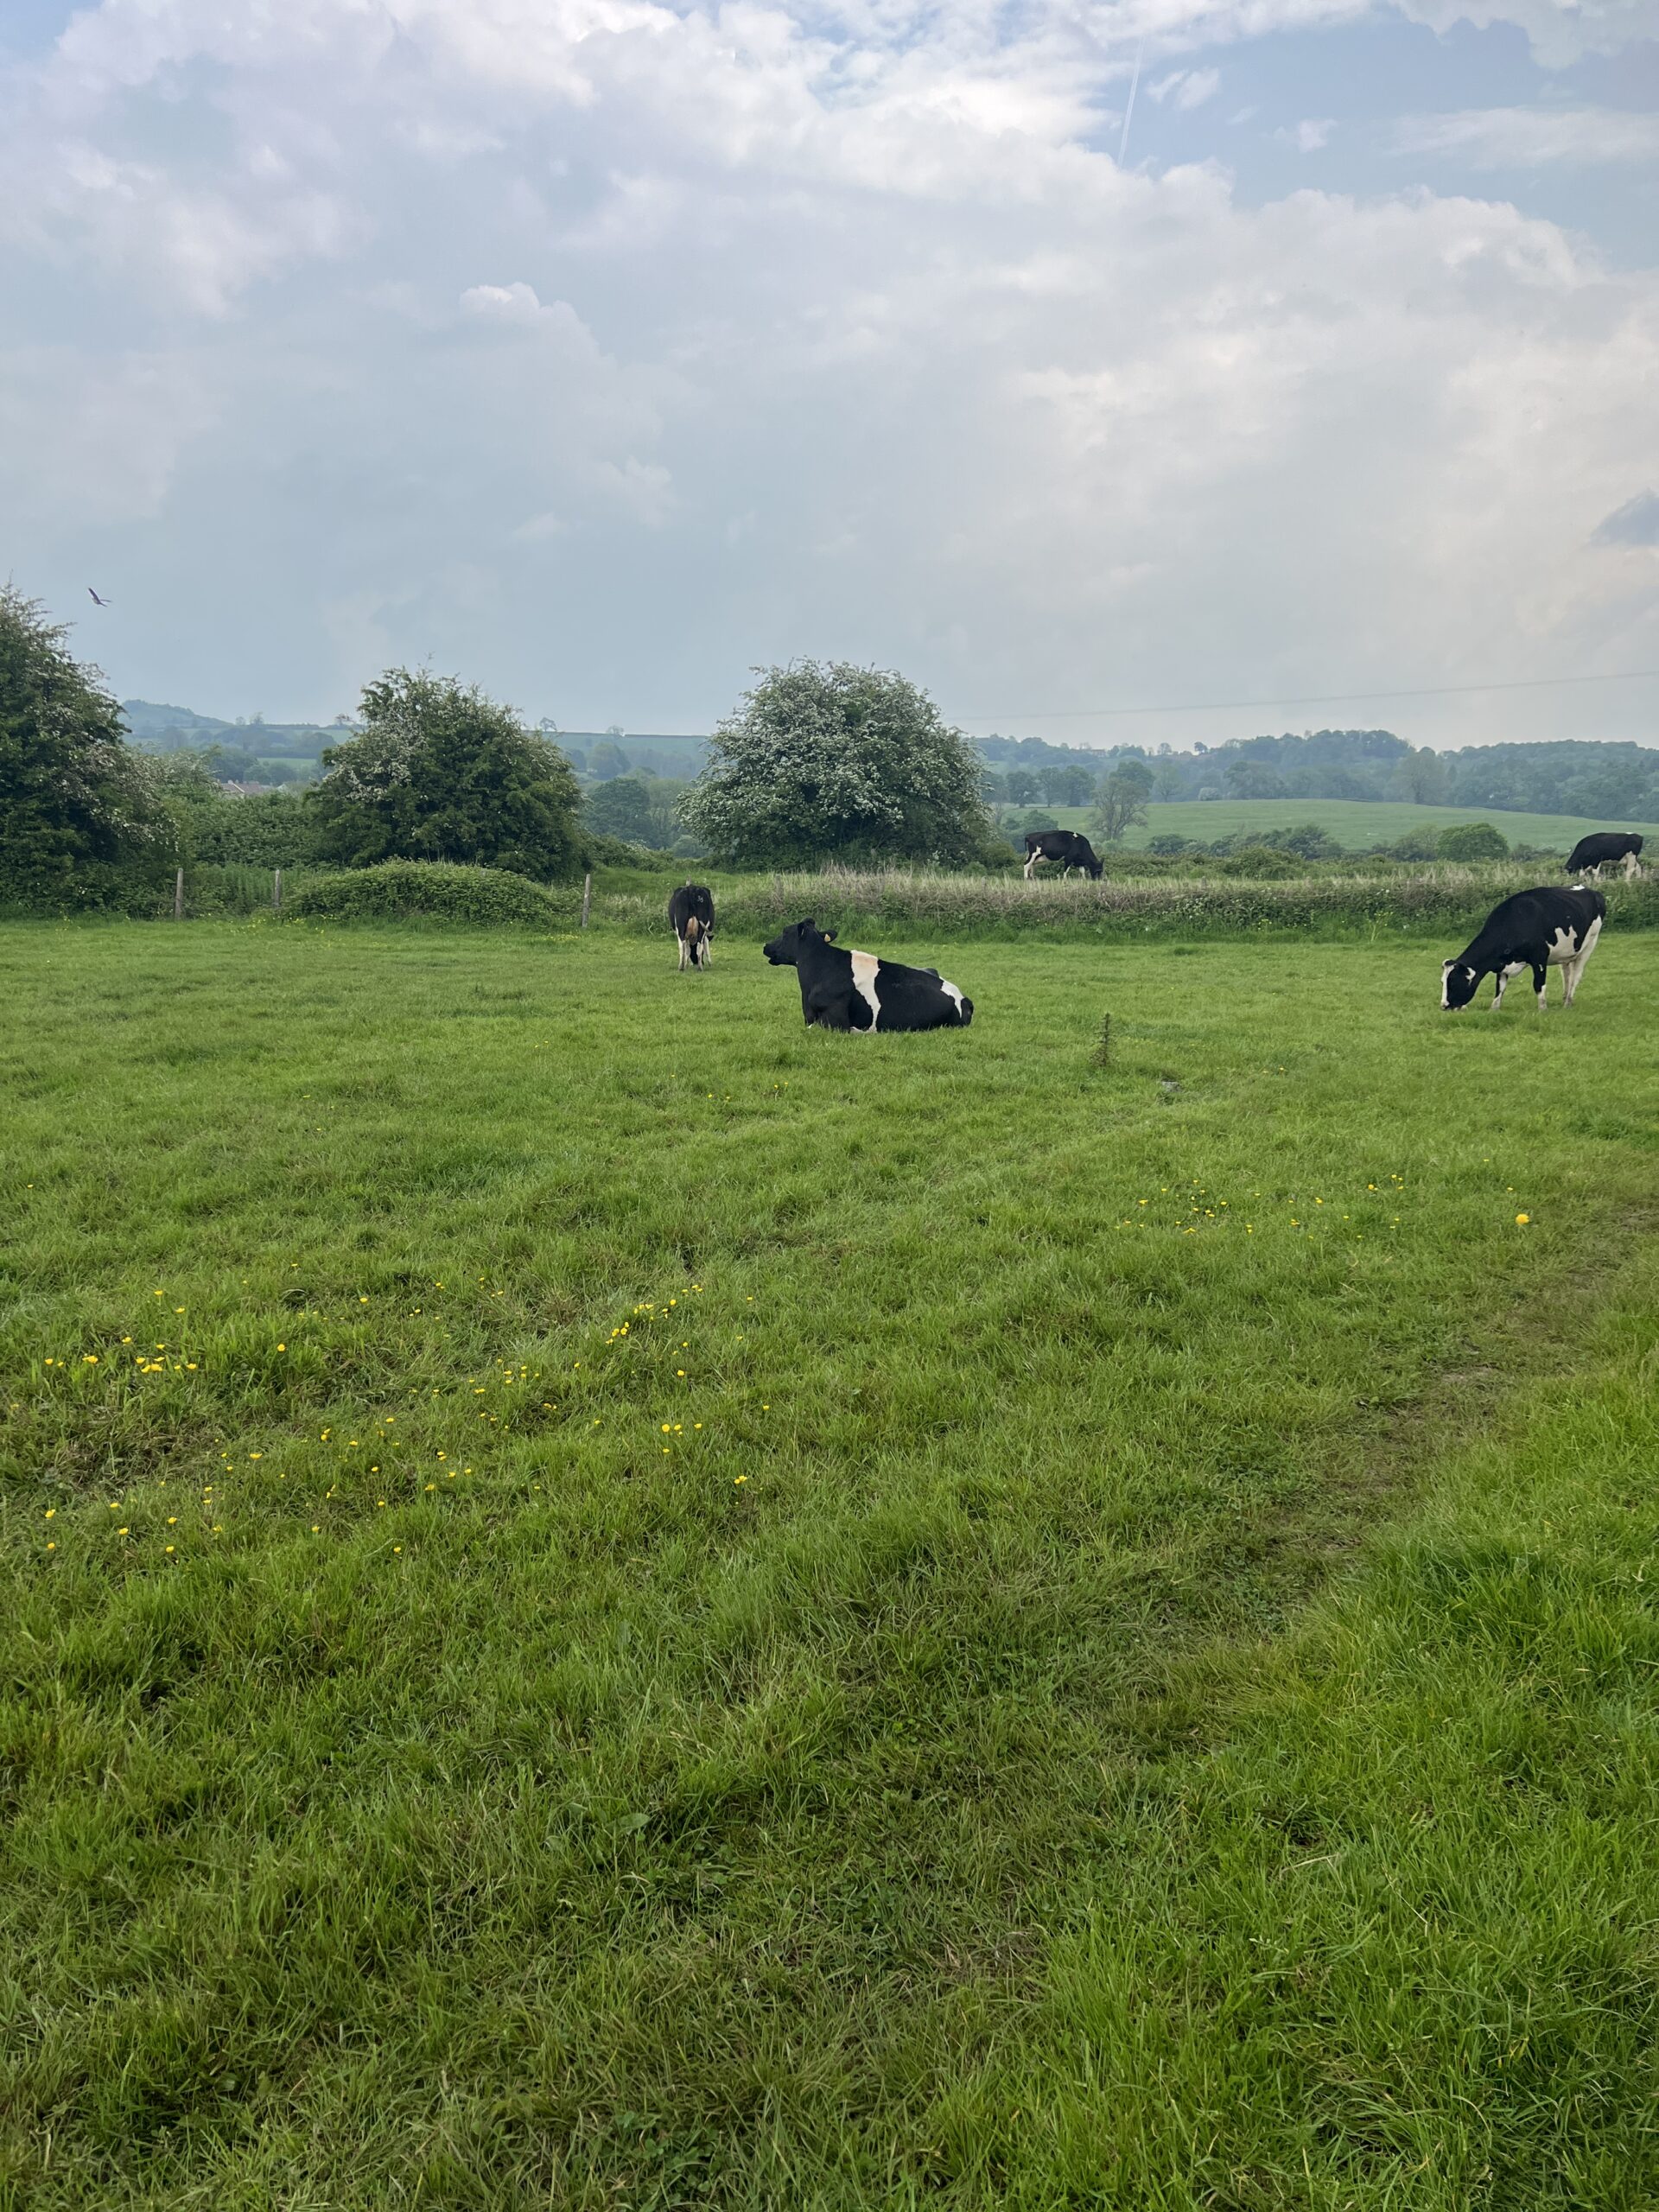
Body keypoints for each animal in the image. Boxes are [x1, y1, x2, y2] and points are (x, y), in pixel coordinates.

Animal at [1442, 885, 1610, 1013]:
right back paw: (1564, 999)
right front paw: (1493, 1009)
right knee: (1567, 975)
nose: (1444, 1006)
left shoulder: (1540, 958)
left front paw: (1542, 1009)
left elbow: (1539, 985)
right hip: (1567, 952)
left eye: (1453, 982)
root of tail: (1591, 891)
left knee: (1576, 976)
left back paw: (1568, 1002)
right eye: (1442, 981)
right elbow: (1500, 988)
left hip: (1589, 945)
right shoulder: (1502, 964)